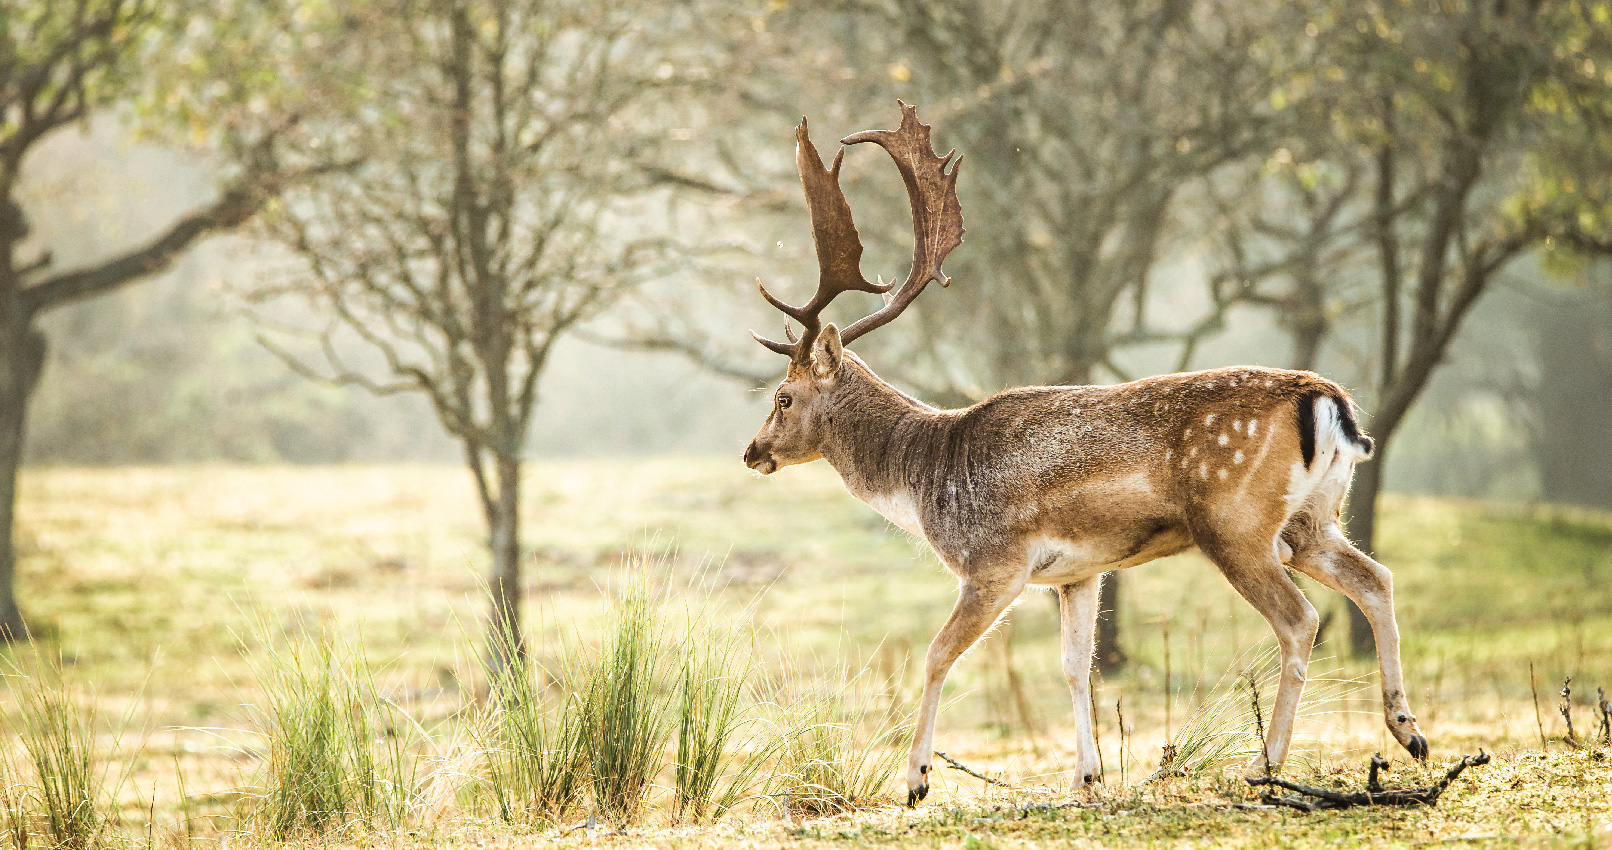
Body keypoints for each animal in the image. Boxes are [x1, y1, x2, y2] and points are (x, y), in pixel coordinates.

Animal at [738, 103, 1431, 809]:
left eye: (784, 398)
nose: (752, 452)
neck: (927, 476)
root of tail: (1330, 402)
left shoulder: (995, 563)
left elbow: (936, 654)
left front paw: (917, 780)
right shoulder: (1078, 572)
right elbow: (1076, 667)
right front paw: (1087, 777)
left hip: (1235, 522)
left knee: (1300, 619)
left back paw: (1266, 766)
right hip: (1312, 520)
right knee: (1377, 578)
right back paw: (1408, 733)